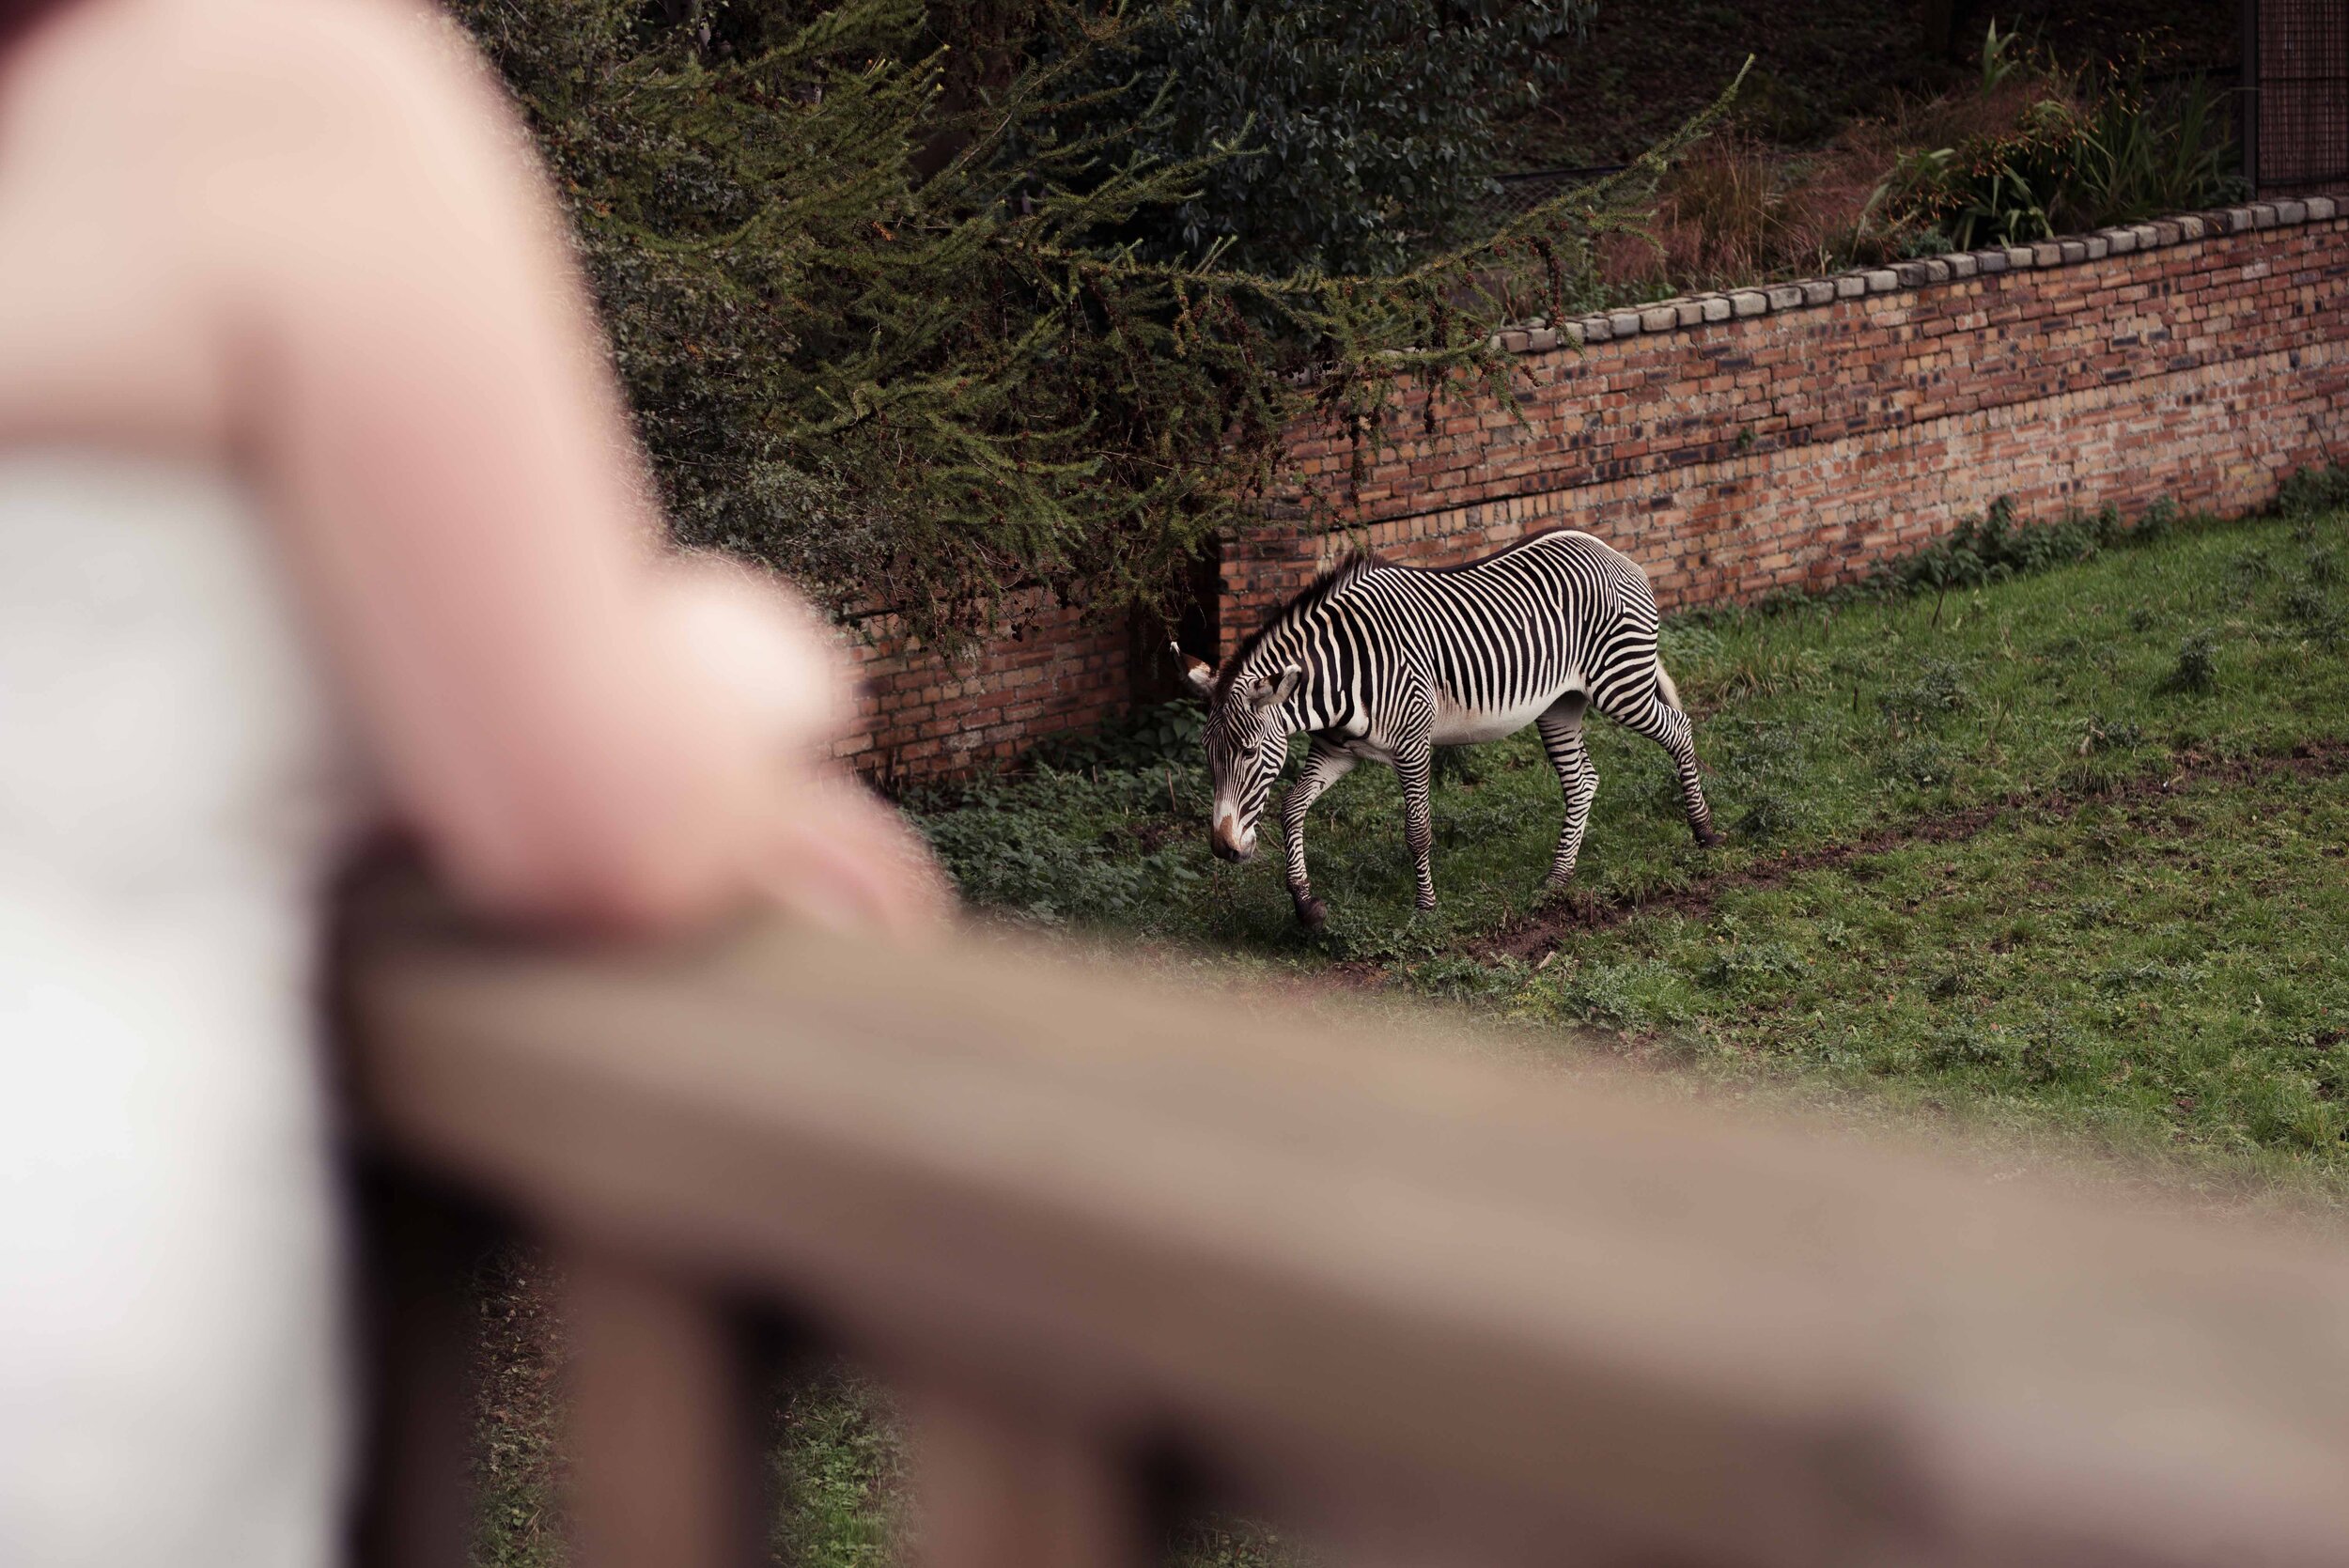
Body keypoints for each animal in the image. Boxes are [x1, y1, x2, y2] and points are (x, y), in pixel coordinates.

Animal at [1184, 525, 1719, 924]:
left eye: (1249, 752)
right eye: (1209, 756)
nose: (1224, 850)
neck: (1341, 672)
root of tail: (1610, 549)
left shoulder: (1413, 743)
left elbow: (1417, 829)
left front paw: (1426, 910)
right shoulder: (1339, 749)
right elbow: (1291, 808)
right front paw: (1306, 906)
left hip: (1620, 684)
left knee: (1680, 729)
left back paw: (1705, 835)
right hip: (1561, 704)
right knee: (1582, 780)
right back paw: (1556, 880)